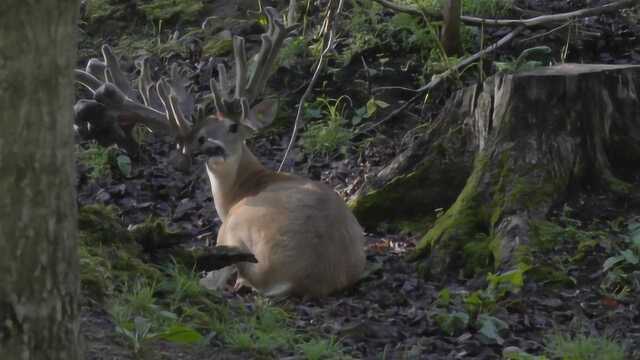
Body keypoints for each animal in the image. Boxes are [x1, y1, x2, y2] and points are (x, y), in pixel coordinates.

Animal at [72, 6, 364, 298]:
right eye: (198, 136)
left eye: (233, 127)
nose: (210, 144)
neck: (241, 188)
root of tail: (300, 277)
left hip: (235, 230)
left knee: (219, 275)